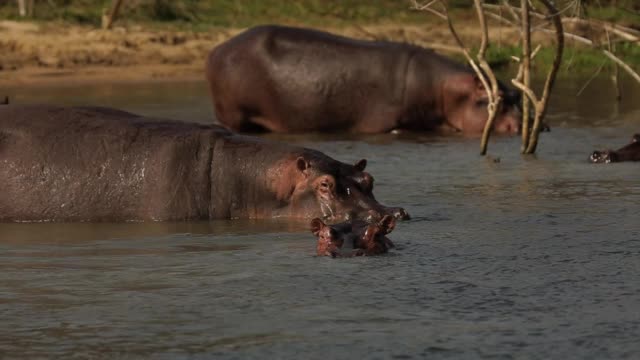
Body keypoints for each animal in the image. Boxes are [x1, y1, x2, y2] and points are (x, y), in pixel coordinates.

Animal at [208, 24, 524, 136]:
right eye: (492, 100)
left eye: (516, 95)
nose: (527, 126)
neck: (444, 90)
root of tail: (217, 48)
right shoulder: (390, 122)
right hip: (234, 116)